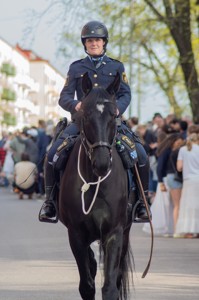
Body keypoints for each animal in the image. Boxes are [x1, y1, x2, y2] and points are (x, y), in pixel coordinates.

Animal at [58, 72, 134, 300]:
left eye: (113, 115)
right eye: (85, 115)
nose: (101, 164)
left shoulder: (114, 233)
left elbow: (110, 287)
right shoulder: (76, 234)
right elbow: (87, 285)